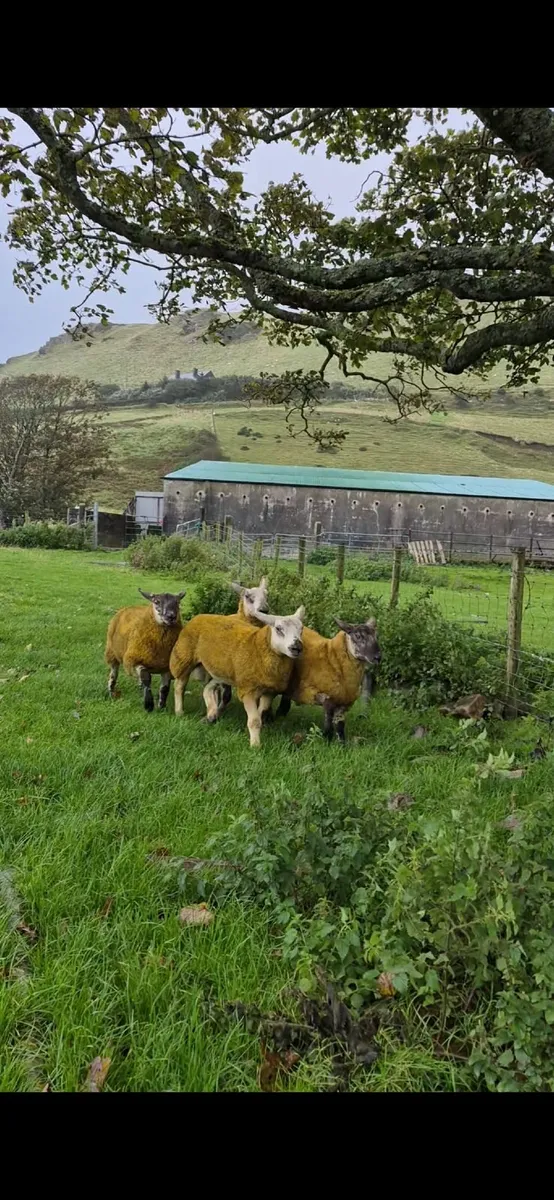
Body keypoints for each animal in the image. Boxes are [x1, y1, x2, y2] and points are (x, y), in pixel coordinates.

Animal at [169, 605, 305, 747]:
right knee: (179, 686)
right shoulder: (248, 689)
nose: (297, 647)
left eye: (301, 629)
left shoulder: (270, 691)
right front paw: (255, 746)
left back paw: (212, 712)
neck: (258, 648)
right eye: (278, 629)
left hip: (219, 670)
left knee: (208, 688)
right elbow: (254, 720)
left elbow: (260, 714)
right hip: (184, 657)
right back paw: (179, 712)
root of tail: (200, 616)